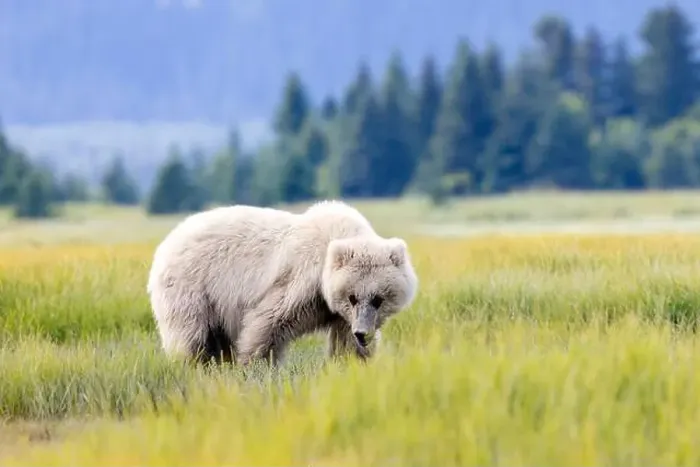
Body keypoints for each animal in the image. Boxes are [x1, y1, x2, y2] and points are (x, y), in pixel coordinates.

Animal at [146, 199, 418, 367]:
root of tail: (166, 242)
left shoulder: (339, 315)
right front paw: (255, 367)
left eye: (378, 299)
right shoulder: (302, 282)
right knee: (192, 340)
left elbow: (346, 346)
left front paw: (354, 364)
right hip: (193, 289)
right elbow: (268, 323)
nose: (363, 333)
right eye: (352, 297)